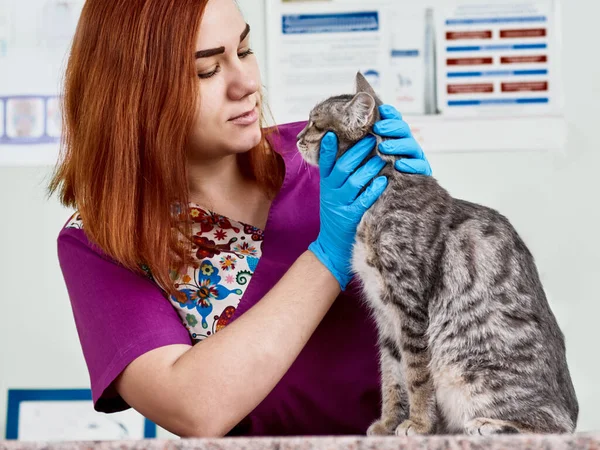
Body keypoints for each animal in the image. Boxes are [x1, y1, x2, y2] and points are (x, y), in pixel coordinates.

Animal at [298, 73, 580, 436]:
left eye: (315, 124)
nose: (297, 138)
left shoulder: (410, 307)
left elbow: (417, 376)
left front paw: (418, 424)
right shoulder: (386, 316)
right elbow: (392, 376)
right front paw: (389, 422)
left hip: (469, 371)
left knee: (553, 426)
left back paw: (488, 424)